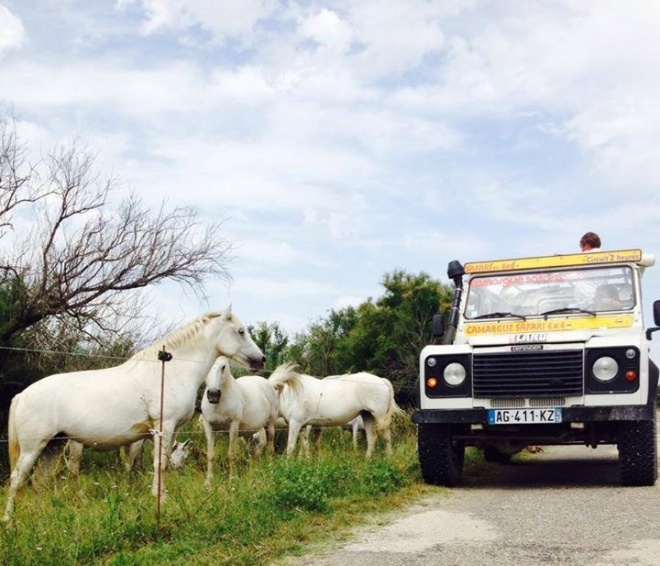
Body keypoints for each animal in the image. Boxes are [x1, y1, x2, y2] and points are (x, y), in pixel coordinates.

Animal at [3, 310, 266, 524]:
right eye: (240, 331)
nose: (261, 359)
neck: (169, 372)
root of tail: (22, 395)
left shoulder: (167, 431)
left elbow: (161, 463)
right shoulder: (163, 427)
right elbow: (159, 463)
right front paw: (160, 498)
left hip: (53, 448)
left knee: (40, 481)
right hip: (34, 448)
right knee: (17, 478)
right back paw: (8, 519)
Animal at [199, 358, 276, 486]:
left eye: (223, 366)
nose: (213, 394)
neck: (219, 404)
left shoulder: (233, 426)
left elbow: (231, 454)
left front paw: (232, 479)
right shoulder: (208, 426)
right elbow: (210, 455)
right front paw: (208, 482)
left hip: (270, 424)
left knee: (269, 448)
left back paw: (270, 468)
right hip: (248, 433)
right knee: (251, 453)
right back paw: (251, 474)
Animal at [266, 366, 400, 460]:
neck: (290, 394)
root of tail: (381, 380)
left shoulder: (295, 424)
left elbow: (291, 446)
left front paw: (288, 465)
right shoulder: (303, 426)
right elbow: (305, 445)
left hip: (379, 416)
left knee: (387, 436)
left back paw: (389, 458)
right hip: (367, 415)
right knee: (371, 437)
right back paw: (367, 460)